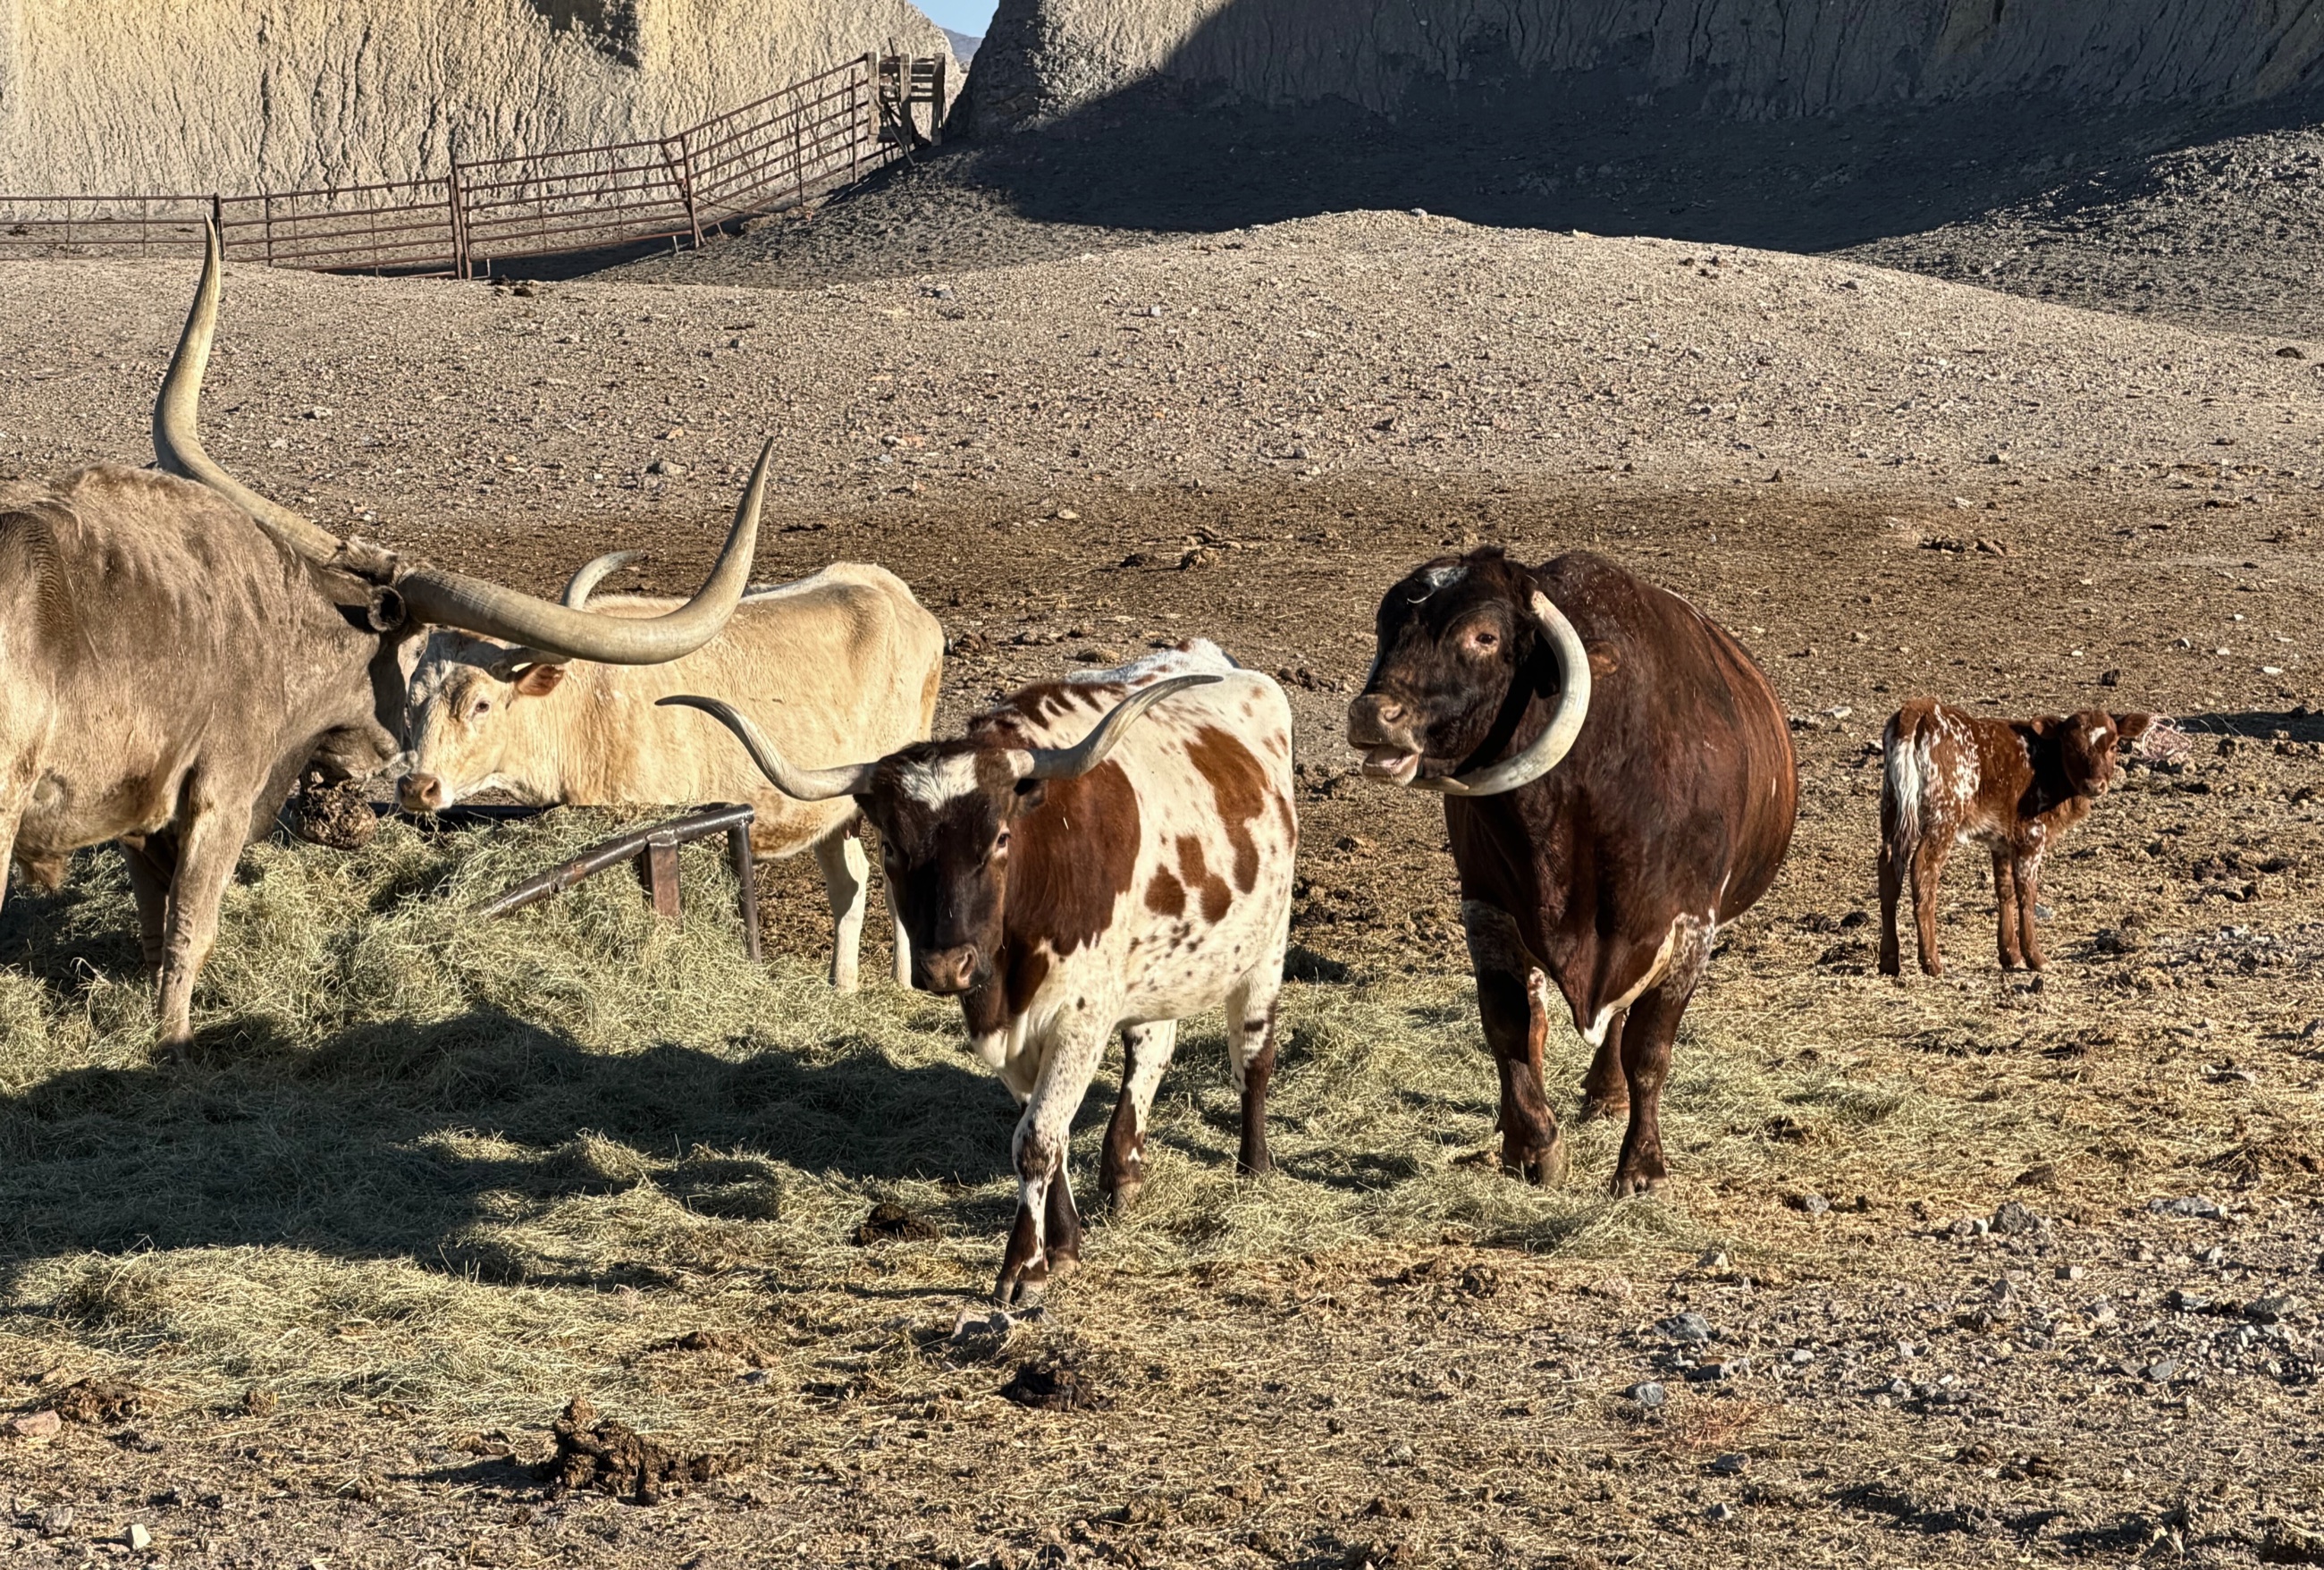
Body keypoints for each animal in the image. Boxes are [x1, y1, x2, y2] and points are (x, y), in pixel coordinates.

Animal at [0, 225, 763, 1047]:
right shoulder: (220, 797)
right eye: (415, 667)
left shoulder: (142, 822)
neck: (276, 623)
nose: (399, 763)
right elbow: (187, 937)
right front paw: (172, 1046)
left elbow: (151, 933)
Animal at [397, 561, 945, 991]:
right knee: (850, 883)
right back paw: (841, 987)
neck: (584, 709)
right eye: (411, 698)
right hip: (830, 813)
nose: (417, 787)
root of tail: (891, 591)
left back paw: (903, 982)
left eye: (481, 703)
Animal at [662, 642, 1297, 1306]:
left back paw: (1253, 1166)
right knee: (1151, 1049)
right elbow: (1045, 1133)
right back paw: (1124, 1171)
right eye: (891, 847)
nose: (946, 966)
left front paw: (1022, 1266)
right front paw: (1063, 1247)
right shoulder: (1011, 1029)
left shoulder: (1079, 1019)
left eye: (999, 838)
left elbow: (1038, 1140)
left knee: (1252, 1057)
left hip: (1266, 947)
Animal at [1346, 547, 1796, 1197]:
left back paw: (1607, 1096)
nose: (1371, 715)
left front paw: (1641, 1168)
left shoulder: (1687, 929)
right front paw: (1534, 1147)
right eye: (1388, 627)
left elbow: (1649, 1050)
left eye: (1484, 636)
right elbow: (1509, 1027)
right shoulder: (1488, 908)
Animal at [1878, 699, 2159, 978]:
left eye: (2113, 746)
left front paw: (2009, 954)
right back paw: (1931, 961)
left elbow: (2005, 890)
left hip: (1892, 804)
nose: (2094, 785)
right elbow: (2027, 893)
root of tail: (1922, 707)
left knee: (1889, 867)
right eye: (2070, 745)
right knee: (1924, 867)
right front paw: (2035, 956)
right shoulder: (2031, 834)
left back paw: (1889, 960)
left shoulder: (2001, 840)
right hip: (1945, 811)